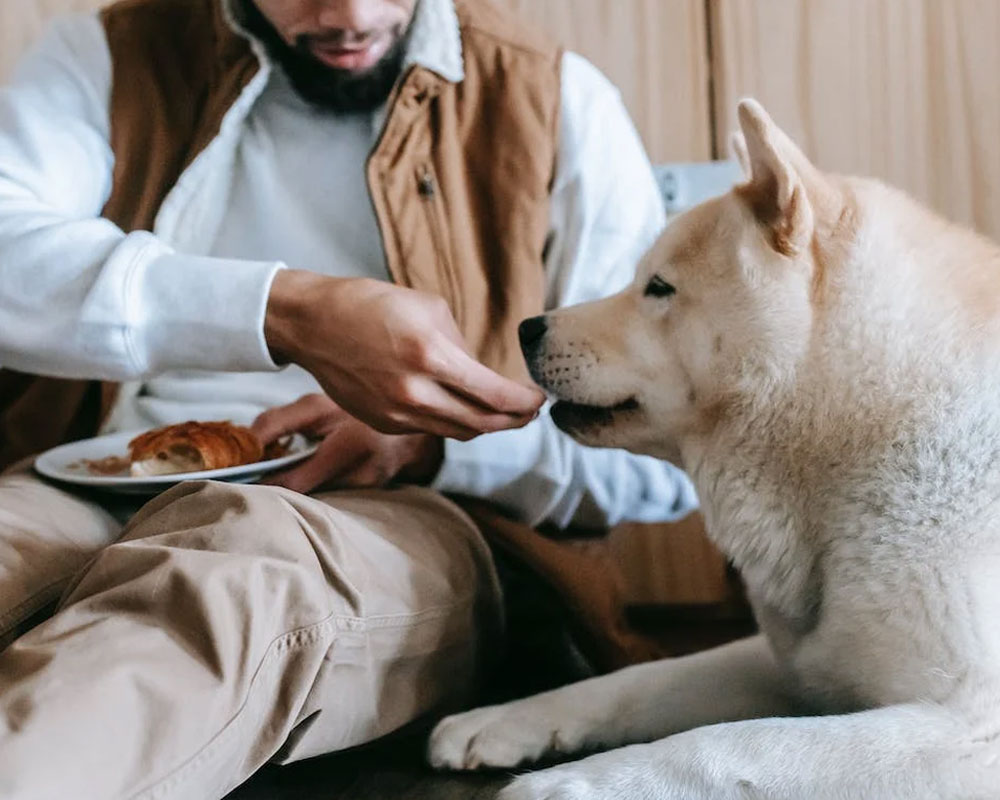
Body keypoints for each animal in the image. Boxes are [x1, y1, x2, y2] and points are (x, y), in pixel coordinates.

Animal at [426, 100, 1000, 800]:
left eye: (659, 287)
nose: (526, 329)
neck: (875, 417)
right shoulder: (796, 662)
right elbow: (638, 681)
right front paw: (503, 718)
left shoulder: (971, 727)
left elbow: (730, 746)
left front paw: (568, 785)